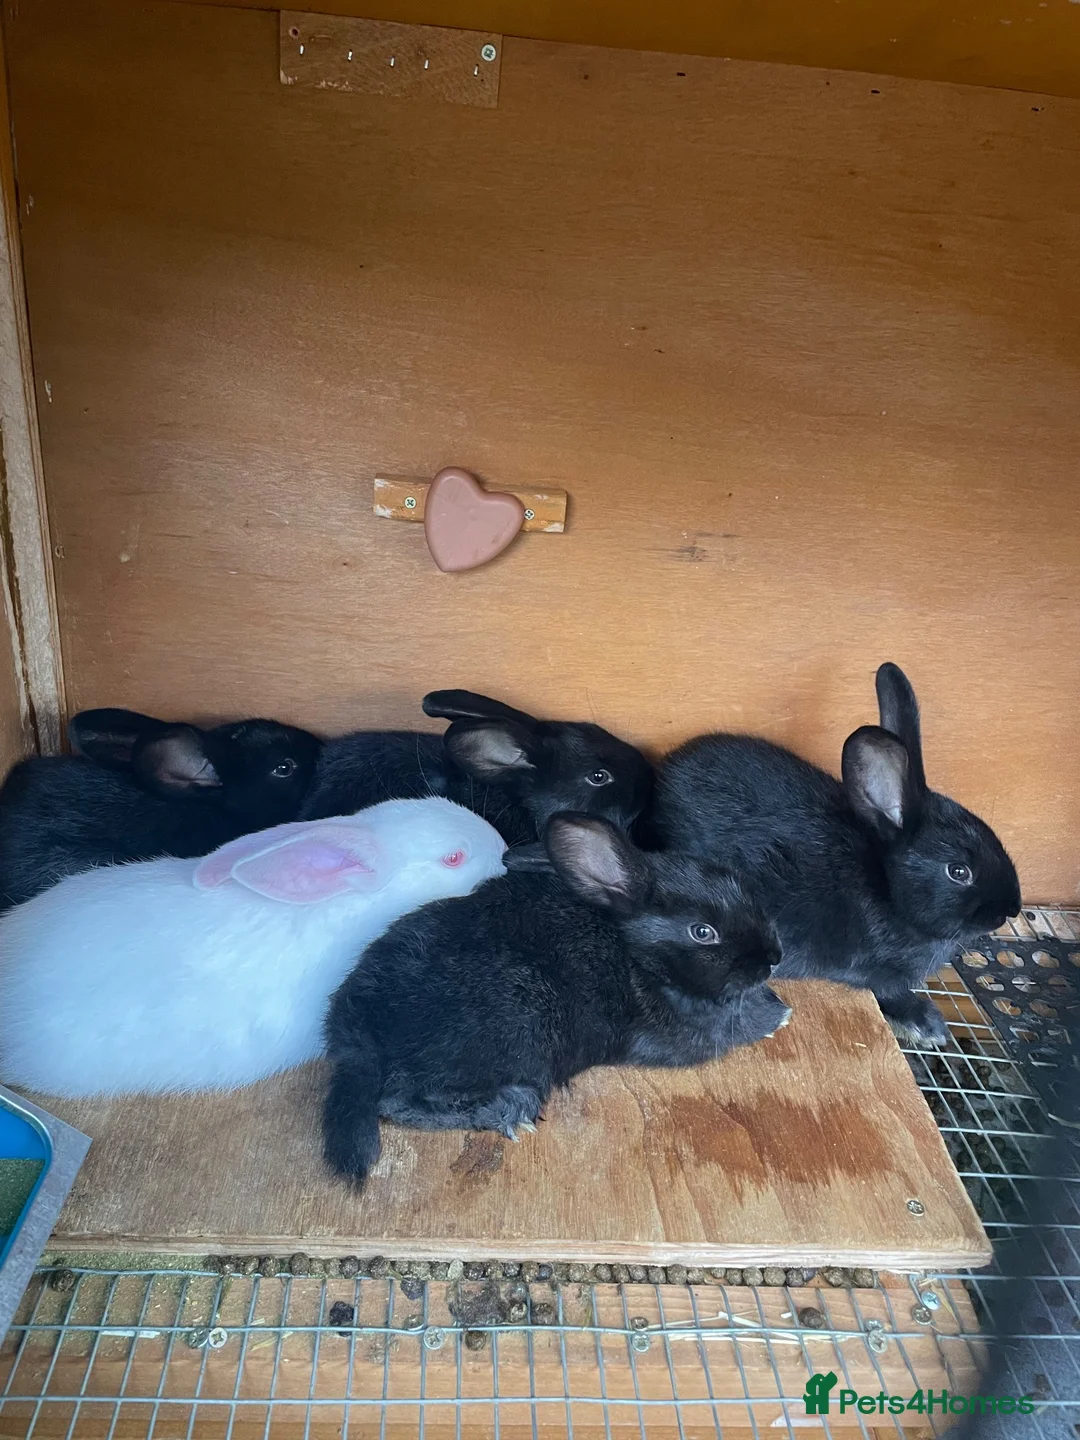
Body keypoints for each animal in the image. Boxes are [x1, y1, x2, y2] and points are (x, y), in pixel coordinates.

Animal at [322, 812, 789, 1184]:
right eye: (702, 932)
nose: (773, 957)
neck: (637, 954)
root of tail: (355, 1037)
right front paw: (778, 1016)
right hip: (520, 1027)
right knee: (397, 1101)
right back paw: (510, 1107)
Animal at [652, 663, 1022, 1046]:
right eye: (959, 871)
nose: (1011, 908)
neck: (887, 888)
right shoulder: (872, 971)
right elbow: (888, 993)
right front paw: (926, 1024)